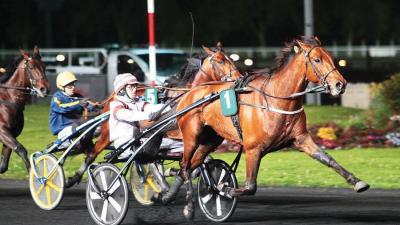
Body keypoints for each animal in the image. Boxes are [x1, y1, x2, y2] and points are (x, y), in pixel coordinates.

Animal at [64, 42, 242, 188]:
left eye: (231, 59)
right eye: (220, 61)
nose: (239, 77)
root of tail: (113, 96)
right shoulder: (176, 136)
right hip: (109, 132)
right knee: (92, 154)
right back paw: (75, 178)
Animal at [177, 37, 370, 220]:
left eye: (331, 58)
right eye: (317, 60)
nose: (340, 84)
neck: (277, 99)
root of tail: (190, 92)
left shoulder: (301, 139)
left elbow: (328, 159)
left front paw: (357, 181)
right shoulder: (253, 149)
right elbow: (250, 187)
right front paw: (224, 189)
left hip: (210, 139)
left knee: (190, 166)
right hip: (192, 136)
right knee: (185, 167)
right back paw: (189, 206)